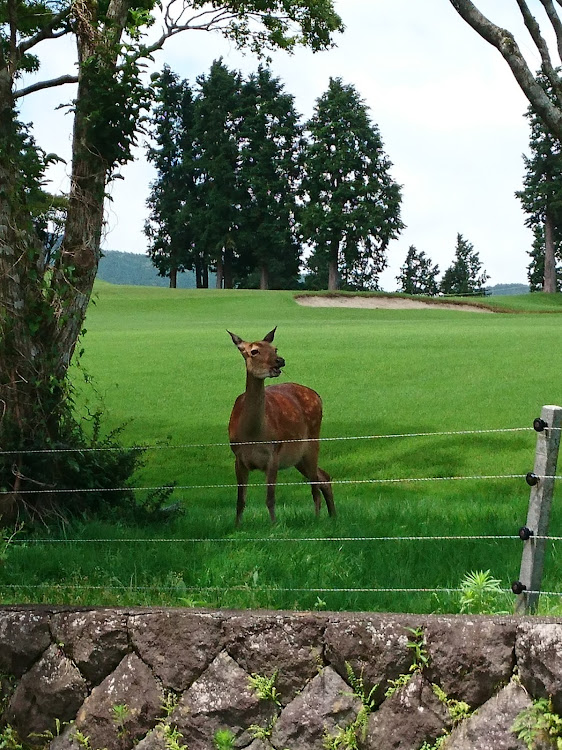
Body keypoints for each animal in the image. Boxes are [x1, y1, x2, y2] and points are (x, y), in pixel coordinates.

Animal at [226, 328, 334, 528]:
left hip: (312, 442)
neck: (253, 435)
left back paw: (318, 519)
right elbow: (240, 500)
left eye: (275, 348)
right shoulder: (238, 457)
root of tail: (317, 395)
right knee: (323, 477)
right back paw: (333, 517)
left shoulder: (273, 454)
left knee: (315, 485)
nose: (280, 360)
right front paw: (236, 527)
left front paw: (273, 526)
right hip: (298, 457)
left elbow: (270, 498)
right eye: (254, 351)